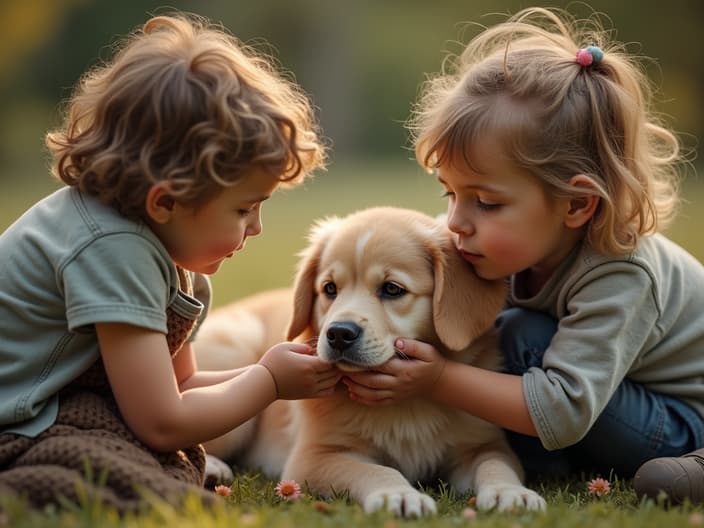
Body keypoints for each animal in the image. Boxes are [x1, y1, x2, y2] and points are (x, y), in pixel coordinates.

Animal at [195, 206, 548, 516]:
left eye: (392, 289)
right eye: (329, 289)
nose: (339, 334)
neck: (406, 408)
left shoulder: (482, 444)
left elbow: (495, 464)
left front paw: (510, 492)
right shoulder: (314, 458)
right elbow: (378, 471)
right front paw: (399, 495)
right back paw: (212, 467)